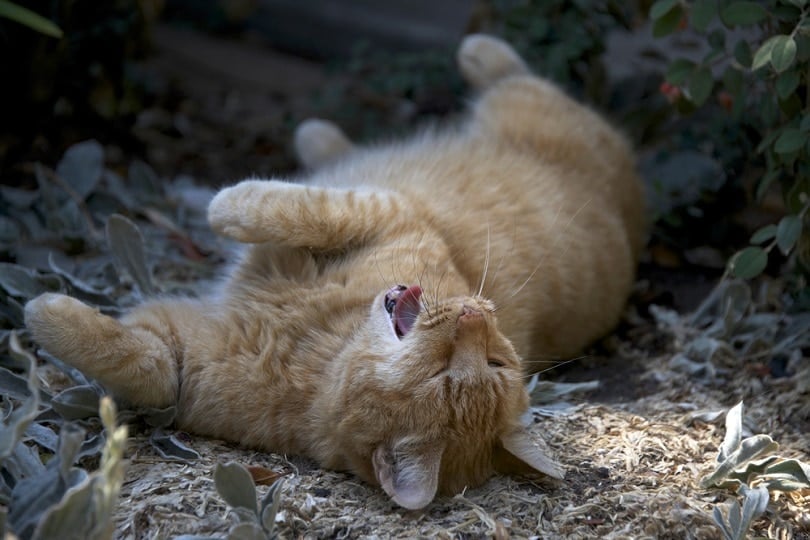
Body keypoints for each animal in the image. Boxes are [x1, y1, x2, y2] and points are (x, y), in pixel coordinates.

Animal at [23, 34, 644, 510]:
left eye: (463, 368)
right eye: (496, 359)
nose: (474, 312)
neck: (314, 351)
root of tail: (635, 209)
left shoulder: (184, 367)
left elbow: (148, 362)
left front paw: (41, 311)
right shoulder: (382, 211)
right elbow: (294, 208)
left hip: (526, 108)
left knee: (514, 77)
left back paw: (470, 54)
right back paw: (326, 137)